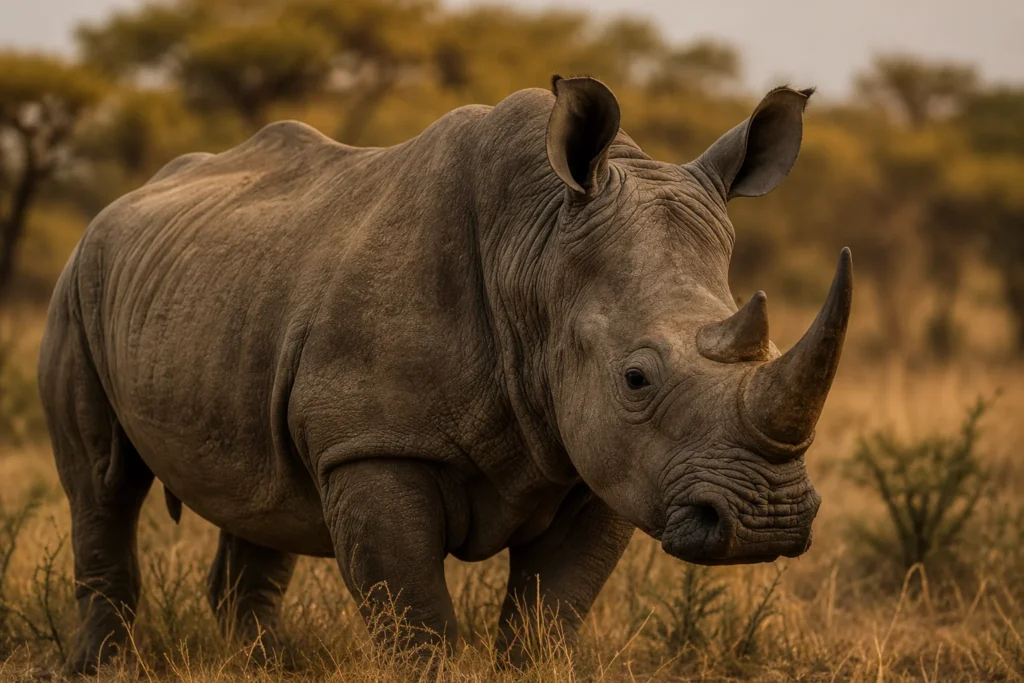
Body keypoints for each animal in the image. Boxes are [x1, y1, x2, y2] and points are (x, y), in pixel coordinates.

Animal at [38, 75, 852, 673]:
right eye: (636, 378)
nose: (768, 521)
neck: (536, 251)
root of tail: (127, 198)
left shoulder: (606, 463)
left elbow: (551, 611)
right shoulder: (372, 442)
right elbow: (417, 618)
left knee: (257, 491)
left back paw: (270, 667)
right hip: (80, 279)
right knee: (103, 483)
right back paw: (102, 666)